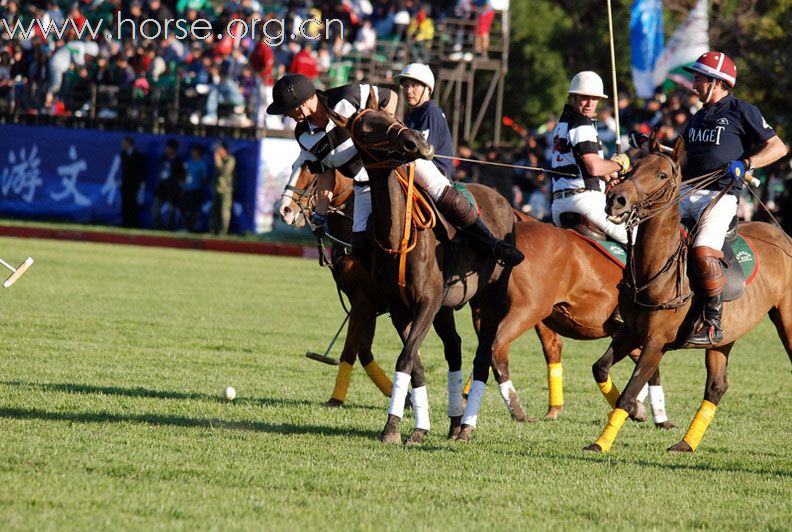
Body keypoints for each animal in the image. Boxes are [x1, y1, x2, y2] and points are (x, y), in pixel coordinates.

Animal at [584, 138, 792, 454]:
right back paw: (685, 444)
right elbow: (600, 368)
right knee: (717, 386)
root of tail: (784, 236)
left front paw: (603, 441)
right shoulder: (630, 331)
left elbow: (629, 391)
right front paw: (636, 413)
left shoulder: (656, 341)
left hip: (787, 319)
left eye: (662, 175)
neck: (654, 268)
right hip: (725, 337)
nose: (615, 199)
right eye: (633, 167)